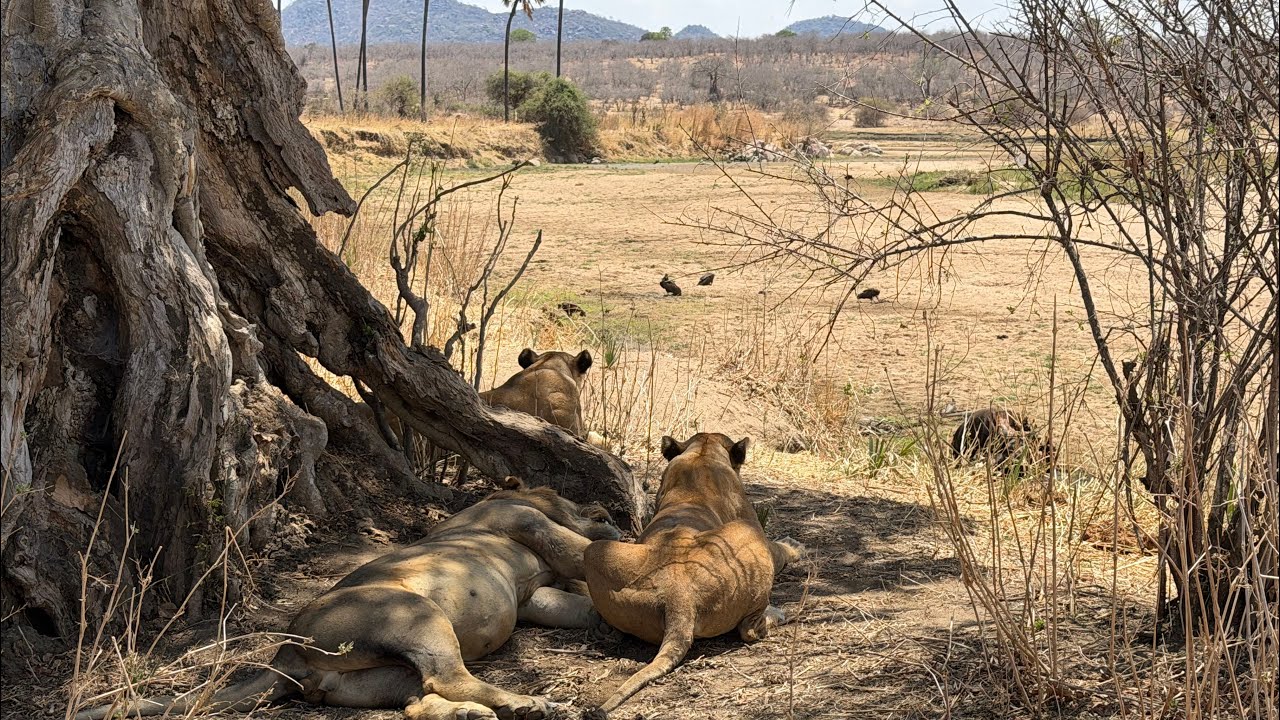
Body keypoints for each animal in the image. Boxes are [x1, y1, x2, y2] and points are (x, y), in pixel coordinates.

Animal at [76, 480, 619, 720]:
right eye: (574, 498)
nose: (608, 510)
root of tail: (287, 655)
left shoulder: (531, 597)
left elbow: (578, 605)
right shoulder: (525, 522)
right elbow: (578, 549)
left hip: (378, 676)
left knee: (420, 700)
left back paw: (470, 714)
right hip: (419, 616)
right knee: (448, 678)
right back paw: (530, 702)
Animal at [580, 432, 804, 717]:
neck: (703, 453)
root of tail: (679, 597)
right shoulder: (754, 524)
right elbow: (779, 549)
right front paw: (794, 546)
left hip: (593, 551)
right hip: (747, 532)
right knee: (750, 630)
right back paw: (779, 614)